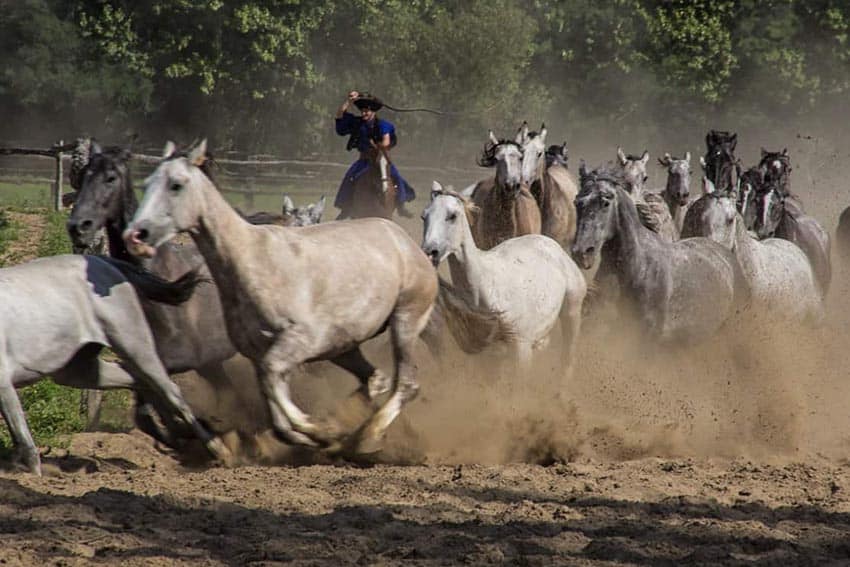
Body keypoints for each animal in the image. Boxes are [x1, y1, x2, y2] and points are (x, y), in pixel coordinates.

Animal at [0, 254, 230, 474]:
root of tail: (100, 260)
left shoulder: (4, 384)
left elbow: (22, 438)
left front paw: (33, 476)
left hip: (133, 344)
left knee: (169, 390)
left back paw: (218, 450)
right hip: (78, 370)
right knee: (139, 381)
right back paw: (175, 436)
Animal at [124, 142, 438, 458]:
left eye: (176, 185)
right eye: (147, 183)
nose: (136, 235)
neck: (251, 260)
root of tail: (407, 243)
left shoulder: (295, 344)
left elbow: (275, 386)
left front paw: (321, 432)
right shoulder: (258, 353)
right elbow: (275, 412)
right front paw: (313, 436)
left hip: (405, 321)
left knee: (407, 384)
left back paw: (367, 437)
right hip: (343, 347)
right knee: (375, 379)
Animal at [418, 182, 584, 368]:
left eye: (452, 216)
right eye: (424, 216)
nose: (430, 252)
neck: (487, 288)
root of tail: (552, 246)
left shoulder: (521, 351)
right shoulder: (487, 356)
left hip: (572, 312)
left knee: (568, 359)